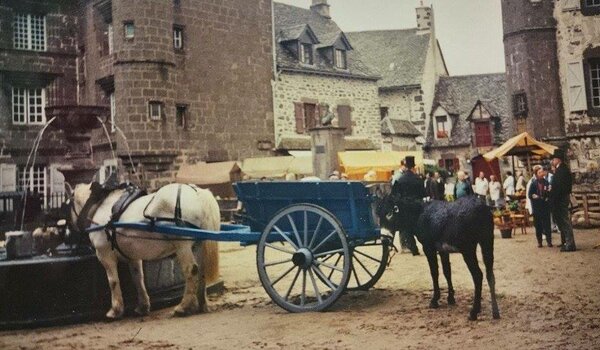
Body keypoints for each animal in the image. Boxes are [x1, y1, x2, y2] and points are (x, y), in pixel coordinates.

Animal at [67, 183, 220, 320]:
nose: (69, 233)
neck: (99, 207)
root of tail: (198, 193)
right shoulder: (132, 256)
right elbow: (138, 278)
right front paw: (143, 306)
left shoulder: (105, 255)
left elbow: (113, 281)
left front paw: (115, 310)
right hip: (199, 244)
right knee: (202, 271)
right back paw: (202, 304)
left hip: (182, 245)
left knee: (191, 270)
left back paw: (184, 306)